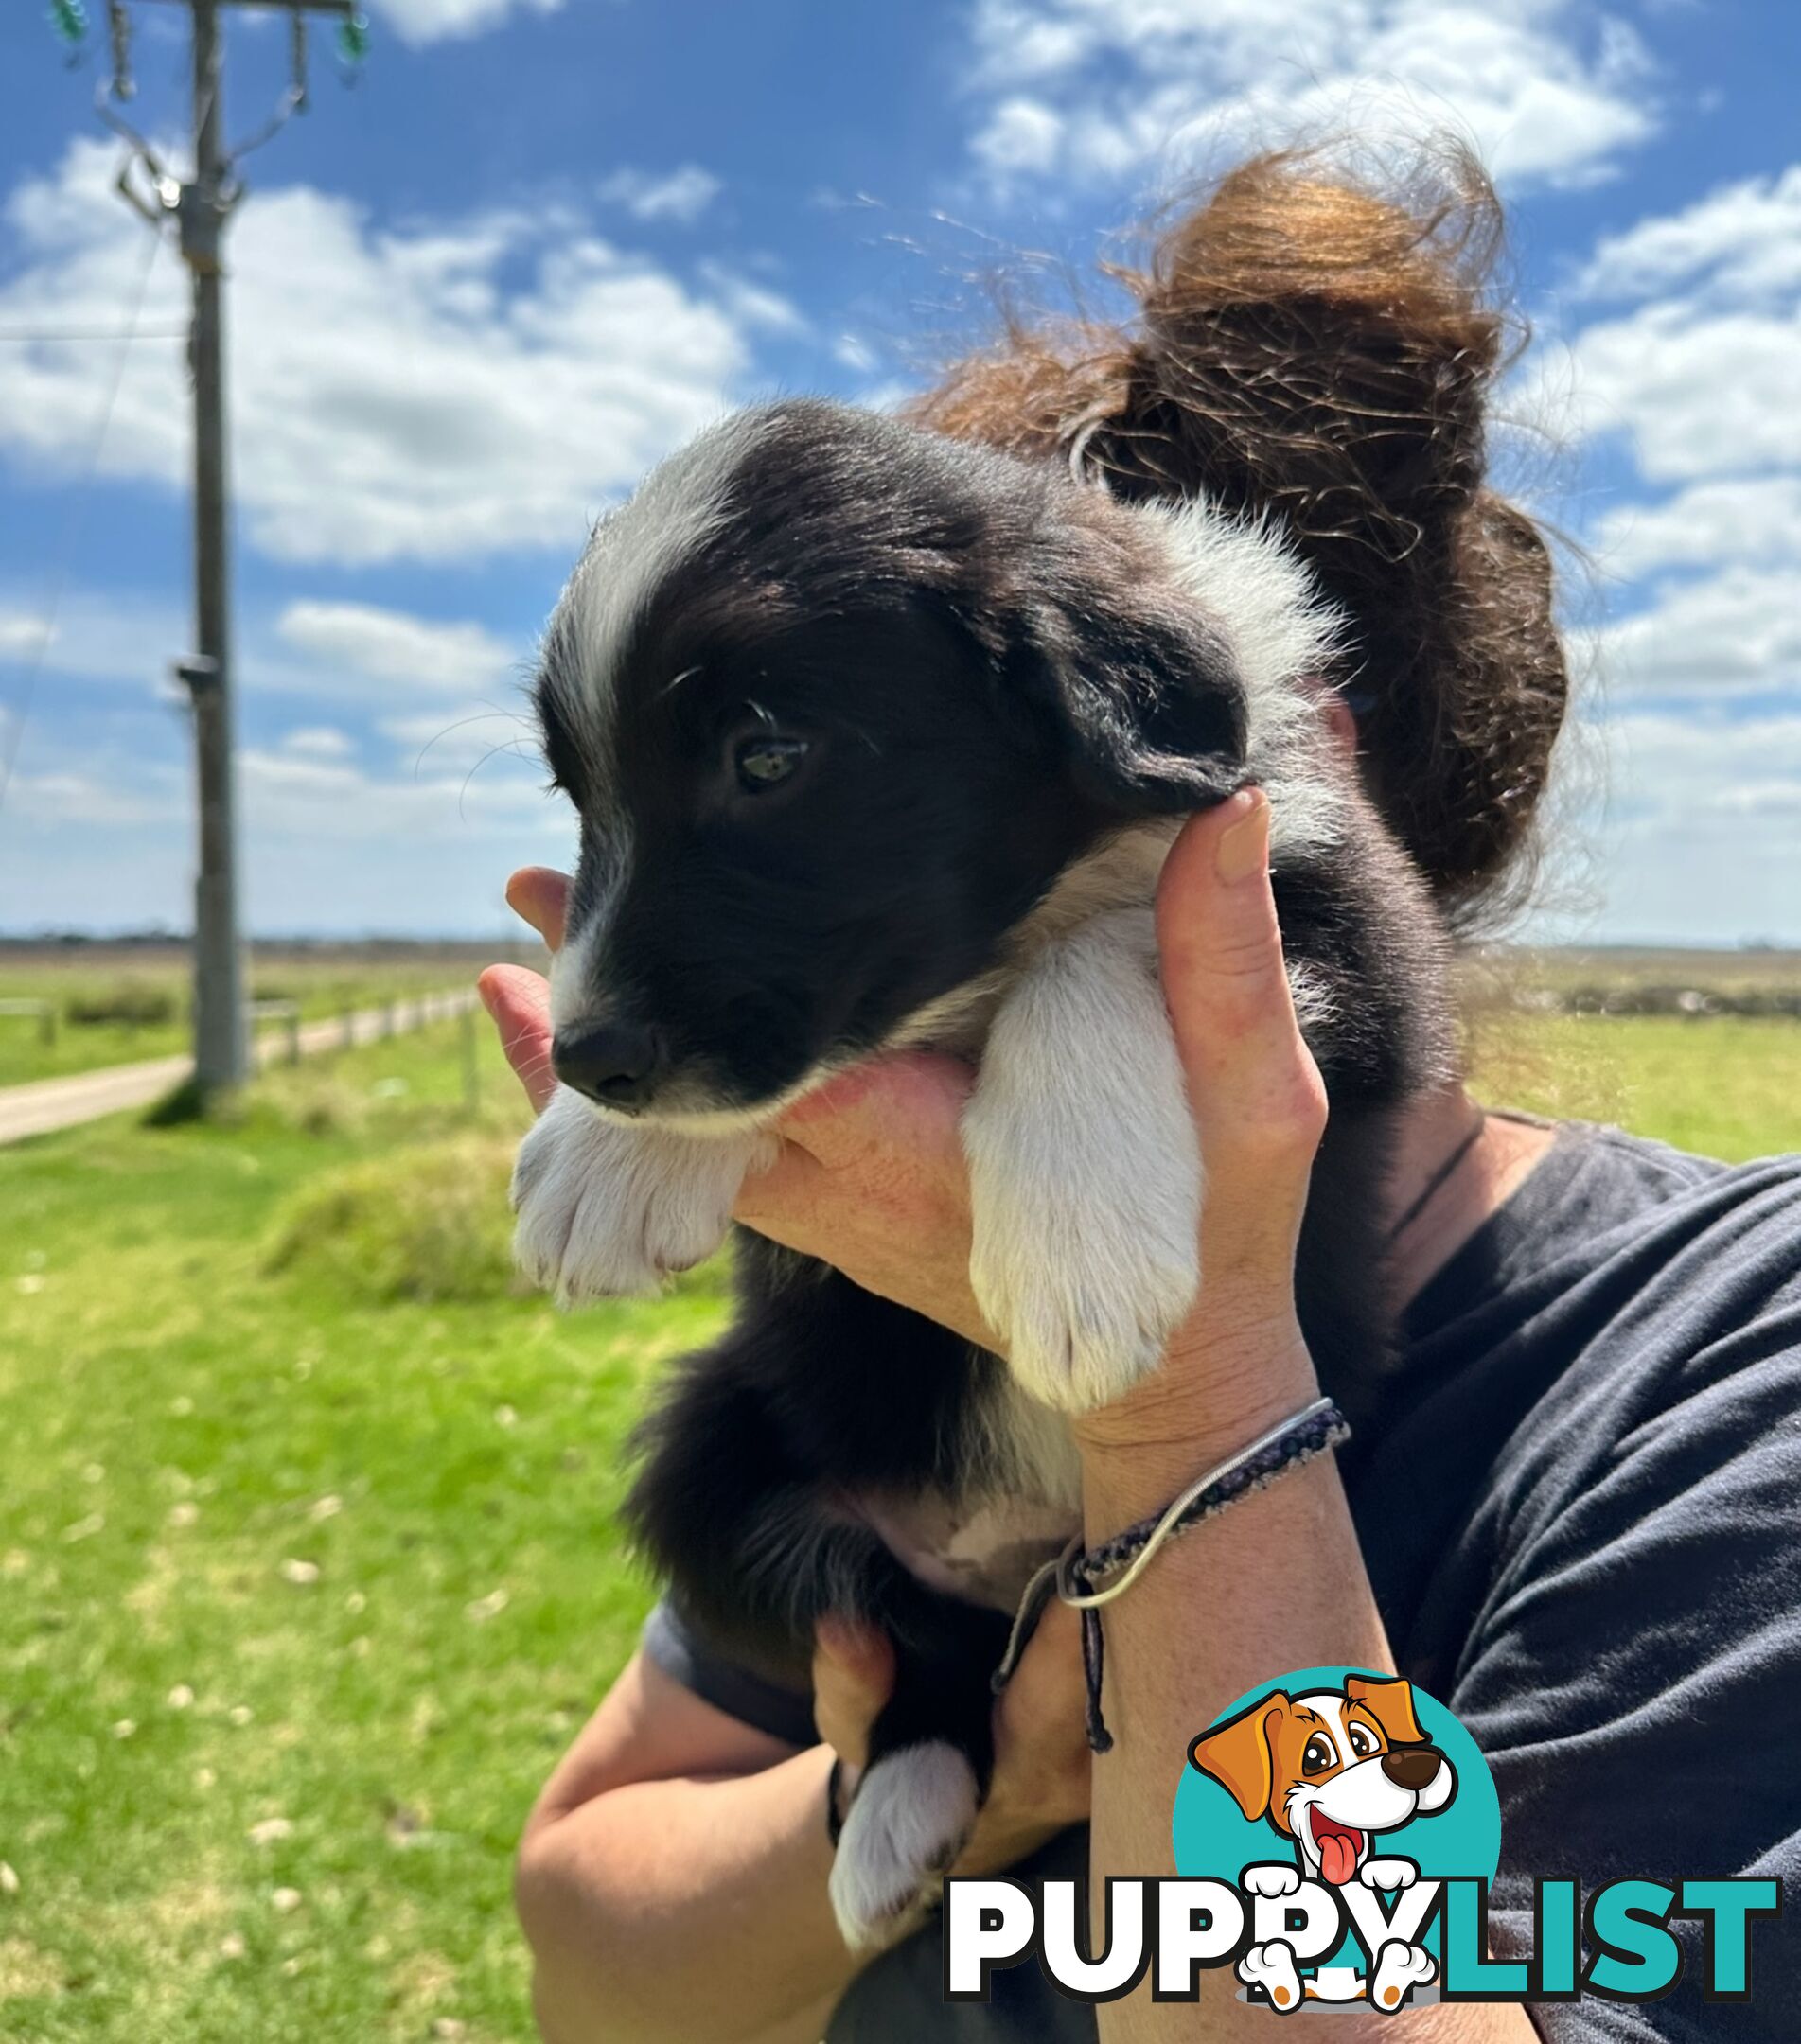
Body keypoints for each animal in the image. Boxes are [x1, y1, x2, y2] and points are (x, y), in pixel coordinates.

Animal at [506, 398, 1447, 1946]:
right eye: (577, 793)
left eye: (767, 757)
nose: (587, 1061)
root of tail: (1013, 1553)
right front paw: (601, 1161)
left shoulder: (1352, 944)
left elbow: (1096, 954)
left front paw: (1080, 1253)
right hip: (717, 1461)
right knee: (922, 1655)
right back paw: (896, 1815)